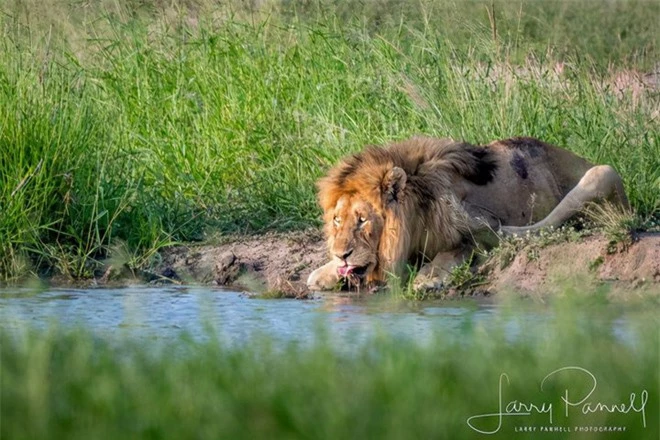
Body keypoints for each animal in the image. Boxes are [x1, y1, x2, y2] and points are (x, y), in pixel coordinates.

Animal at [308, 136, 628, 290]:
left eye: (363, 220)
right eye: (337, 220)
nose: (341, 254)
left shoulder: (472, 230)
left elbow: (451, 252)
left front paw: (427, 278)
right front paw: (323, 272)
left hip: (603, 173)